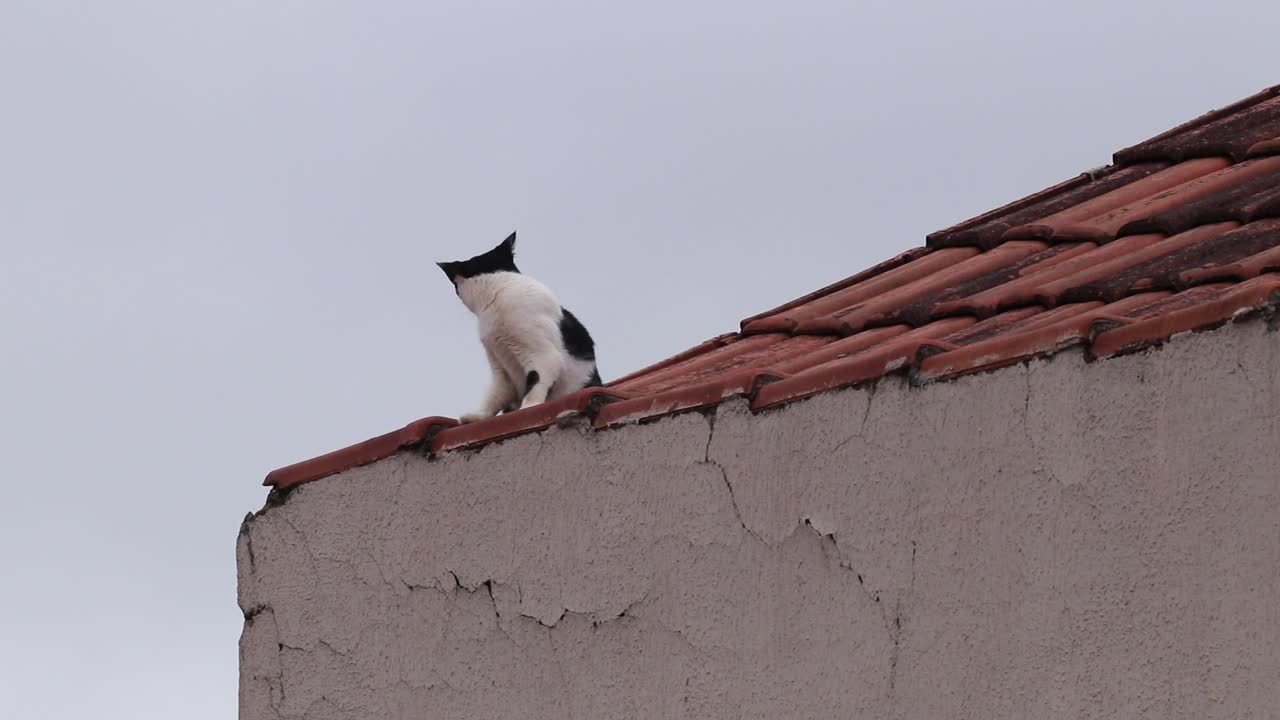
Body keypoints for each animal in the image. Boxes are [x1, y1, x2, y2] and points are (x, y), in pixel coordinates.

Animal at [437, 229, 601, 422]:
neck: (501, 288)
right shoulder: (500, 368)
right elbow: (494, 395)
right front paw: (479, 416)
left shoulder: (544, 356)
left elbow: (536, 382)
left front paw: (528, 407)